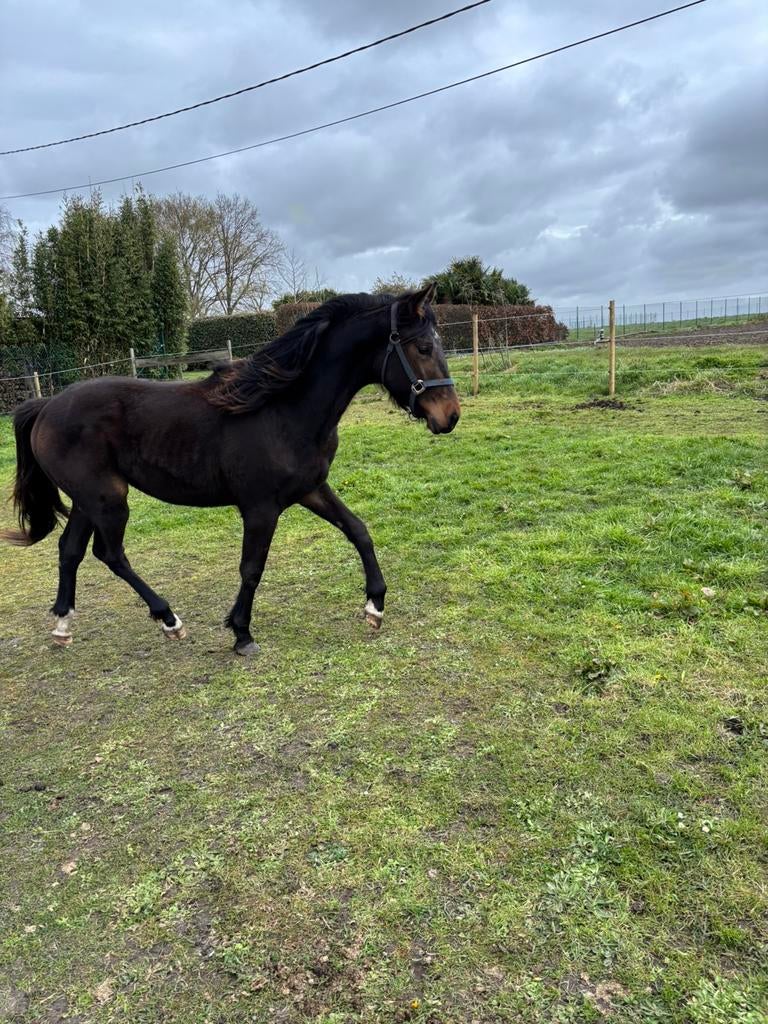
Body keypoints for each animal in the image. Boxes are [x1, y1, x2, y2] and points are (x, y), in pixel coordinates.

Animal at [2, 284, 461, 655]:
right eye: (423, 348)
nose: (450, 416)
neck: (284, 409)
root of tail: (47, 405)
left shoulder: (311, 489)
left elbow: (358, 531)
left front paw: (375, 606)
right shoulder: (260, 508)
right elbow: (251, 568)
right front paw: (241, 633)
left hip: (88, 499)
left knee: (70, 550)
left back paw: (63, 626)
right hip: (107, 499)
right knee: (110, 554)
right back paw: (169, 620)